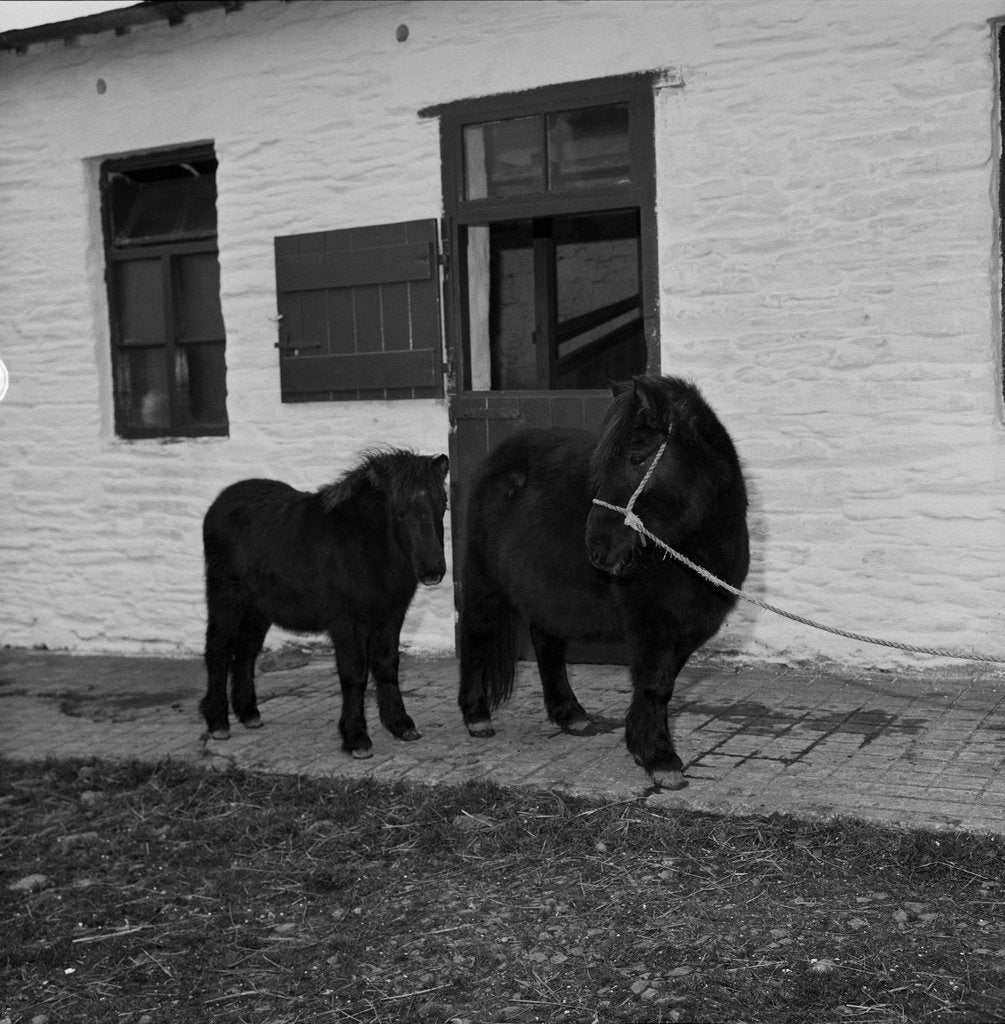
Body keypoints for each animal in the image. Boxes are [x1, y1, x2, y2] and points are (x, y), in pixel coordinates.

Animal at [200, 448, 449, 758]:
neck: (366, 548)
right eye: (399, 512)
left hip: (258, 610)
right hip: (226, 599)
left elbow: (387, 665)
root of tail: (220, 503)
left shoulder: (390, 618)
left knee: (246, 652)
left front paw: (400, 724)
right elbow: (354, 675)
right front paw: (356, 738)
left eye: (443, 506)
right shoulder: (348, 625)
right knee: (219, 652)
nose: (432, 571)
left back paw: (248, 713)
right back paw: (218, 721)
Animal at [457, 374, 748, 789]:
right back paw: (477, 716)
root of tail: (500, 458)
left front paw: (643, 745)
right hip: (485, 579)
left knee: (546, 642)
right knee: (475, 633)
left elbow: (661, 684)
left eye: (637, 457)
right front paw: (660, 758)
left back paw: (570, 714)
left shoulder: (688, 626)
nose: (597, 548)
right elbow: (654, 684)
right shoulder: (651, 624)